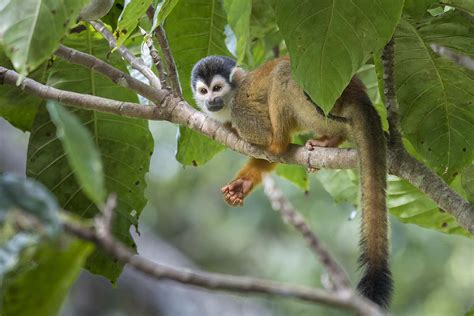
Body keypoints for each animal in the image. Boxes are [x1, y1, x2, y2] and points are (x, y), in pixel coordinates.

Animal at [191, 55, 390, 308]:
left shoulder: (240, 109)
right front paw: (242, 185)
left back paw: (282, 142)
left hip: (323, 106)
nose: (211, 101)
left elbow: (261, 135)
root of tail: (358, 94)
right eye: (203, 91)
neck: (230, 99)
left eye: (217, 88)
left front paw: (260, 140)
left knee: (284, 74)